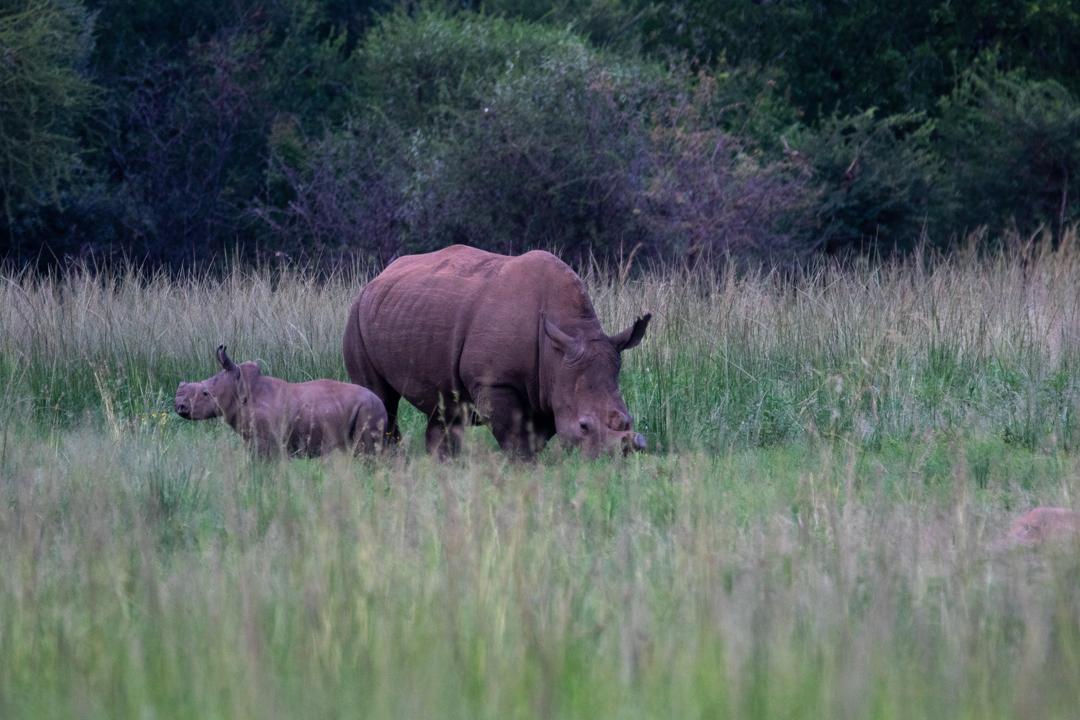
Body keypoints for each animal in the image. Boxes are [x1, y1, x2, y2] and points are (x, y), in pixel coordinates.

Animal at [179, 345, 390, 459]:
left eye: (206, 394)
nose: (179, 407)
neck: (240, 386)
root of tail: (380, 401)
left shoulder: (265, 442)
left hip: (369, 409)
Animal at [345, 245, 648, 459]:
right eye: (584, 426)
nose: (611, 460)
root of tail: (378, 278)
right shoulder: (495, 381)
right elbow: (515, 437)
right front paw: (522, 468)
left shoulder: (549, 388)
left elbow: (536, 436)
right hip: (357, 313)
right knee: (380, 397)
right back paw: (387, 459)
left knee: (444, 406)